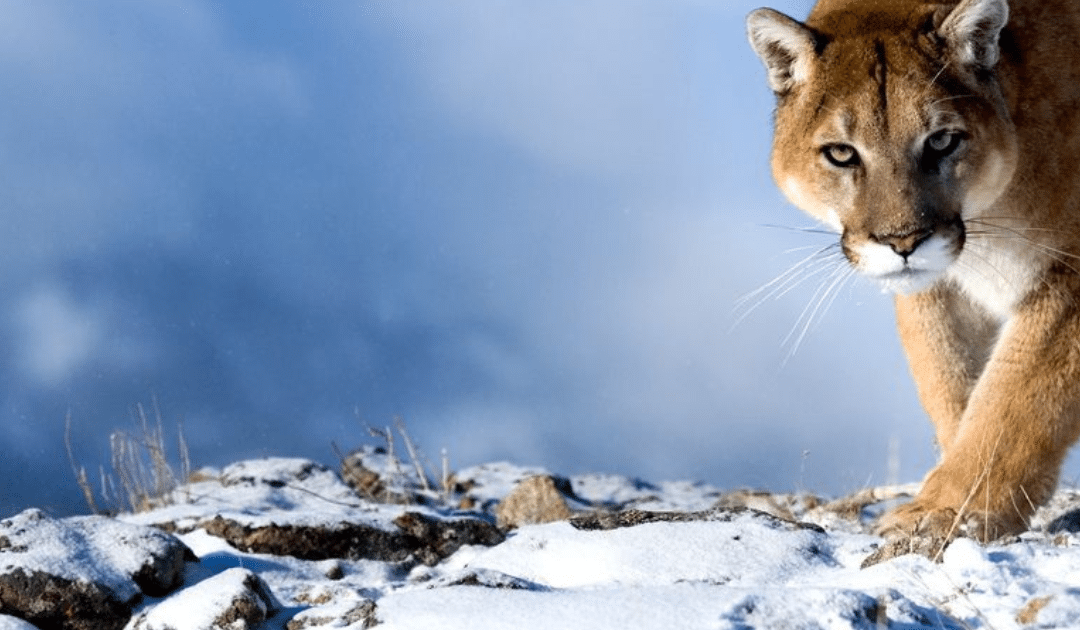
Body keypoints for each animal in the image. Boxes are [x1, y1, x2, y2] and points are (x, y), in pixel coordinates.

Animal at [747, 0, 1080, 542]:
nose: (903, 242)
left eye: (942, 141)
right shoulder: (939, 289)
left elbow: (1014, 399)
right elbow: (949, 381)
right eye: (841, 153)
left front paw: (949, 510)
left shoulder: (1070, 274)